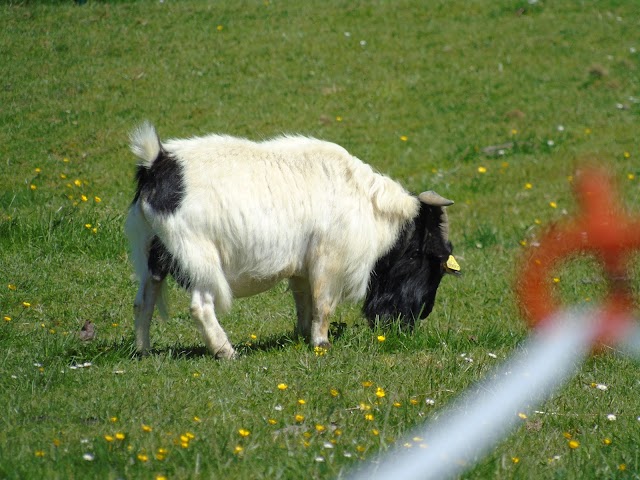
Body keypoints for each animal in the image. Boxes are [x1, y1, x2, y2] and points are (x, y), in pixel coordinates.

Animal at [125, 122, 458, 358]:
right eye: (432, 258)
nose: (414, 320)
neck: (369, 204)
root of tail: (158, 162)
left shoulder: (302, 266)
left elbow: (304, 301)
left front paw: (301, 336)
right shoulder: (328, 261)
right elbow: (323, 304)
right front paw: (321, 343)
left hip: (154, 255)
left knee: (144, 301)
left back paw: (144, 351)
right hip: (200, 259)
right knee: (200, 306)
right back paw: (226, 351)